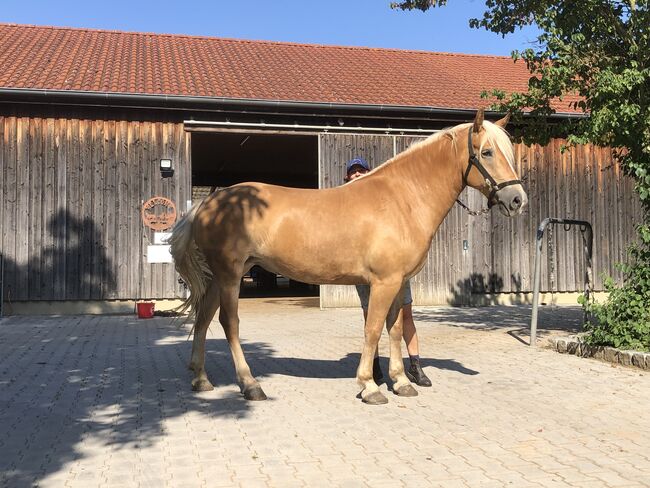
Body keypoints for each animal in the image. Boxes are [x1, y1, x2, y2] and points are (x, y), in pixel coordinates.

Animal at [168, 110, 528, 404]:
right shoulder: (383, 283)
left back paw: (201, 379)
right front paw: (369, 386)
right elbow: (373, 329)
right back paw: (250, 385)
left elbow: (394, 329)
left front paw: (400, 382)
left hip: (221, 277)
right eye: (486, 152)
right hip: (230, 276)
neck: (402, 198)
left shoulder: (398, 283)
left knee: (203, 318)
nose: (517, 200)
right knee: (229, 323)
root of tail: (209, 202)